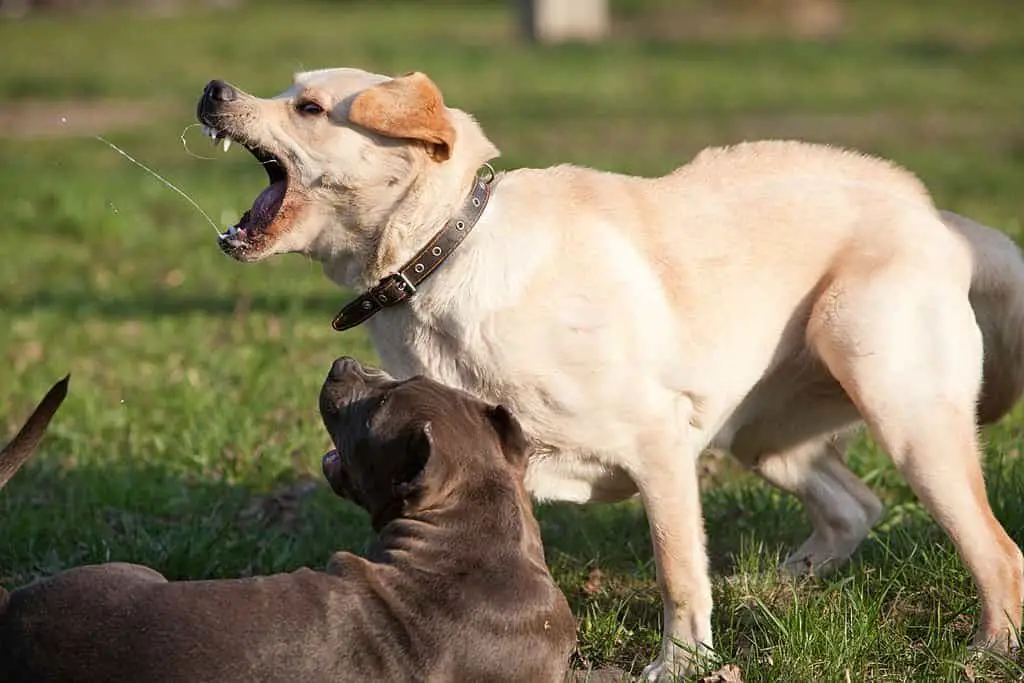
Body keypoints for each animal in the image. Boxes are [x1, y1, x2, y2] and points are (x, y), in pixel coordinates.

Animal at [195, 68, 1024, 679]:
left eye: (307, 106)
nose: (213, 89)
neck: (442, 255)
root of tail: (938, 217)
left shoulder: (659, 444)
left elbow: (677, 572)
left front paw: (682, 663)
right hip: (763, 434)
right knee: (856, 505)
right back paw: (775, 584)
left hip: (899, 406)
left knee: (996, 549)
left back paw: (989, 648)